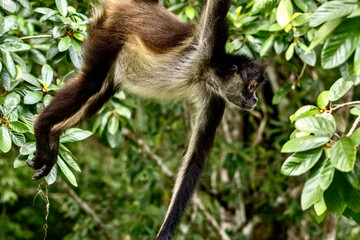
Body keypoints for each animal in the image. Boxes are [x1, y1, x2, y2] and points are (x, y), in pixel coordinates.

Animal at [26, 0, 264, 238]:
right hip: (110, 27)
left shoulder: (215, 98)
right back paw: (41, 126)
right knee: (90, 82)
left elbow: (196, 158)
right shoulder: (209, 40)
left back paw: (54, 138)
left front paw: (165, 233)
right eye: (252, 86)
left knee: (103, 90)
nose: (255, 99)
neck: (204, 73)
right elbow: (217, 6)